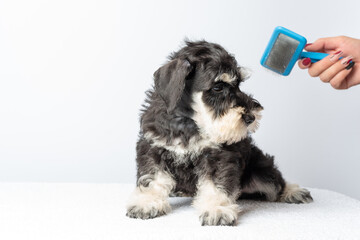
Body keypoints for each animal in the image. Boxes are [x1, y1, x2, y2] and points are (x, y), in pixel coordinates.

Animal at [126, 40, 312, 226]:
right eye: (217, 87)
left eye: (238, 85)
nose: (251, 117)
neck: (190, 123)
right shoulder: (153, 149)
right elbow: (152, 179)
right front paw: (146, 203)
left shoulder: (218, 156)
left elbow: (216, 185)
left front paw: (217, 209)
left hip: (262, 172)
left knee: (277, 183)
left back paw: (293, 192)